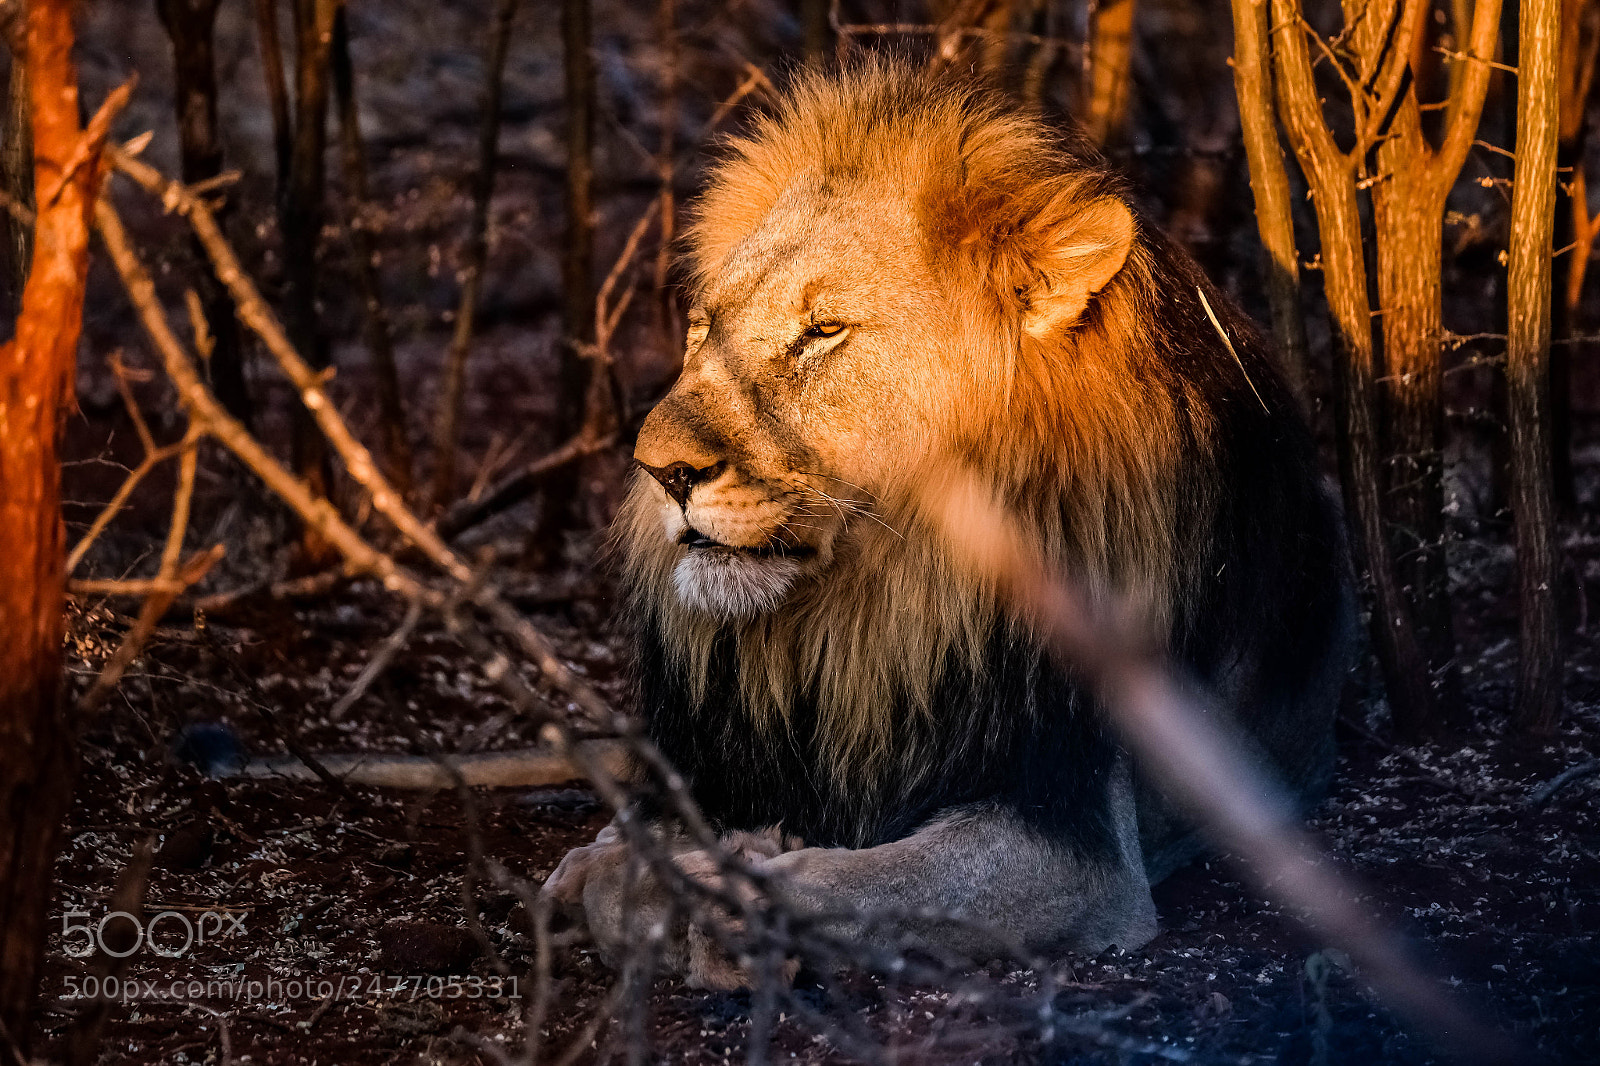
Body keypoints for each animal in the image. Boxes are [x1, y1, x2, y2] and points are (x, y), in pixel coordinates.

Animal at [544, 59, 1355, 986]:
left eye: (823, 330)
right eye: (704, 326)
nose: (661, 470)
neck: (877, 612)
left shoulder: (1070, 838)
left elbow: (863, 885)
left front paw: (724, 897)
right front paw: (625, 870)